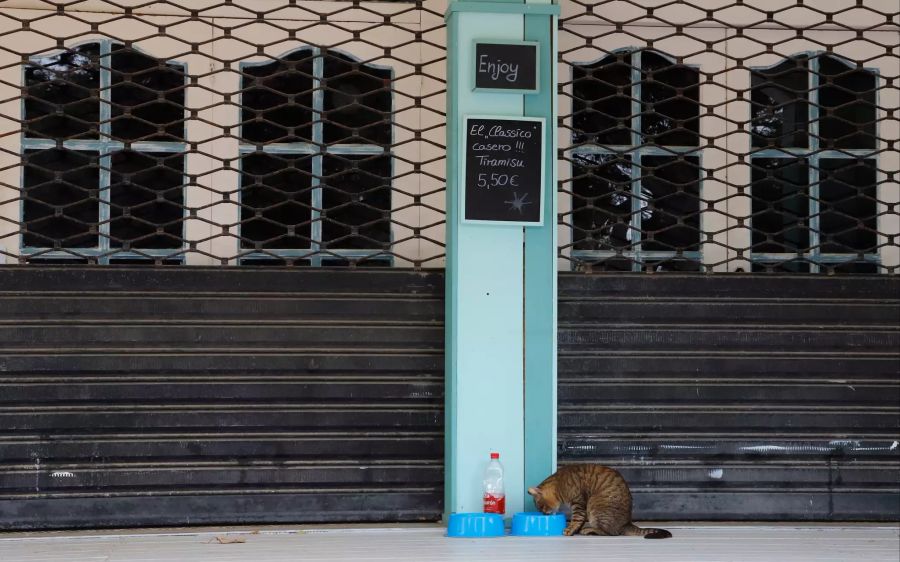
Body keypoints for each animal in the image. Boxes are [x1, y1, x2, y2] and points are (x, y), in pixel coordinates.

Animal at [532, 462, 672, 536]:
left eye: (541, 507)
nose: (544, 514)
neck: (560, 483)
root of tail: (627, 523)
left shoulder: (579, 503)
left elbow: (577, 519)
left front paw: (570, 530)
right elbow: (579, 521)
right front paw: (575, 530)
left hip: (595, 506)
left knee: (608, 532)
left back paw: (590, 529)